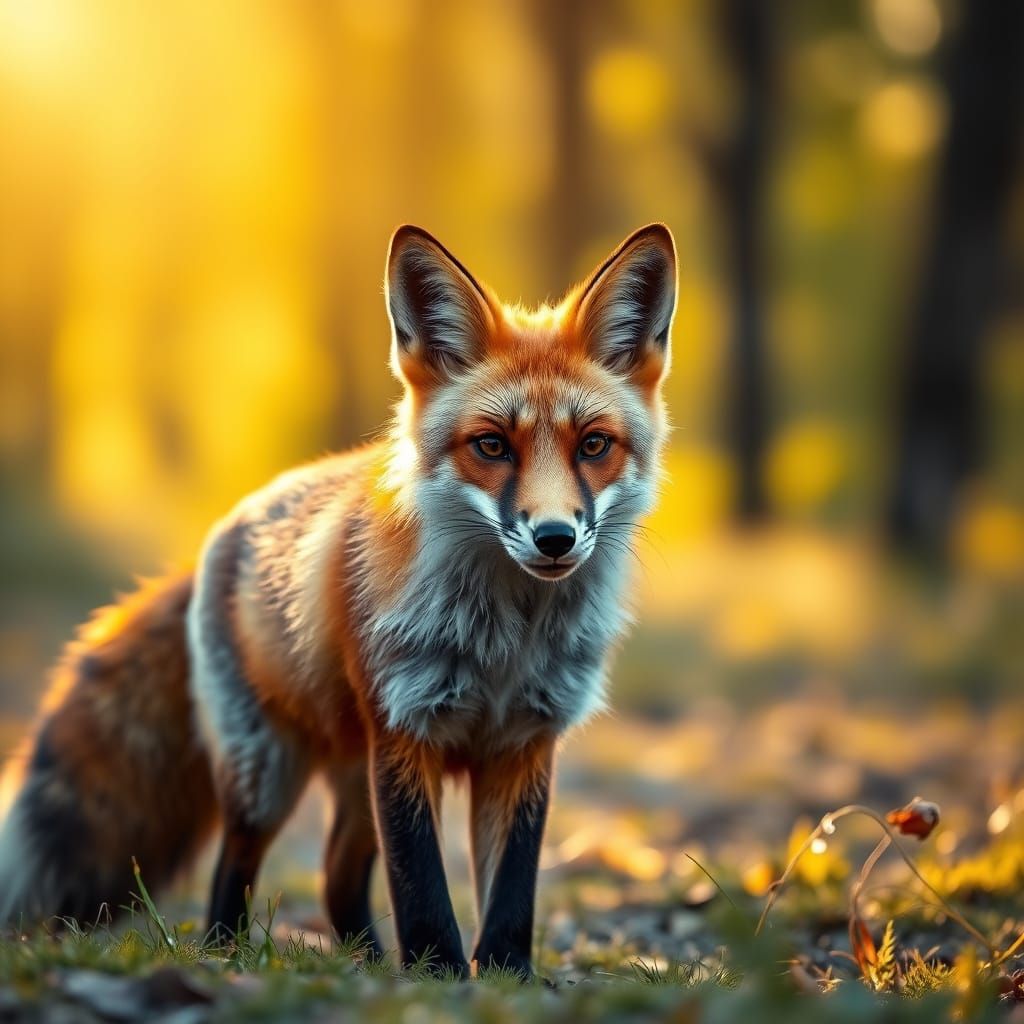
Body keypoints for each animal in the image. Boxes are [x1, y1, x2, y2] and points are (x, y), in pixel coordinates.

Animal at [0, 223, 676, 978]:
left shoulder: (525, 741)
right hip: (267, 771)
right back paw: (229, 954)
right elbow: (422, 890)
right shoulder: (406, 731)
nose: (555, 537)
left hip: (355, 777)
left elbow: (511, 895)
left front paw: (506, 979)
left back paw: (366, 961)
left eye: (594, 445)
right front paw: (439, 978)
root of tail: (222, 530)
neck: (504, 642)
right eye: (492, 446)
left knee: (335, 877)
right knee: (235, 868)